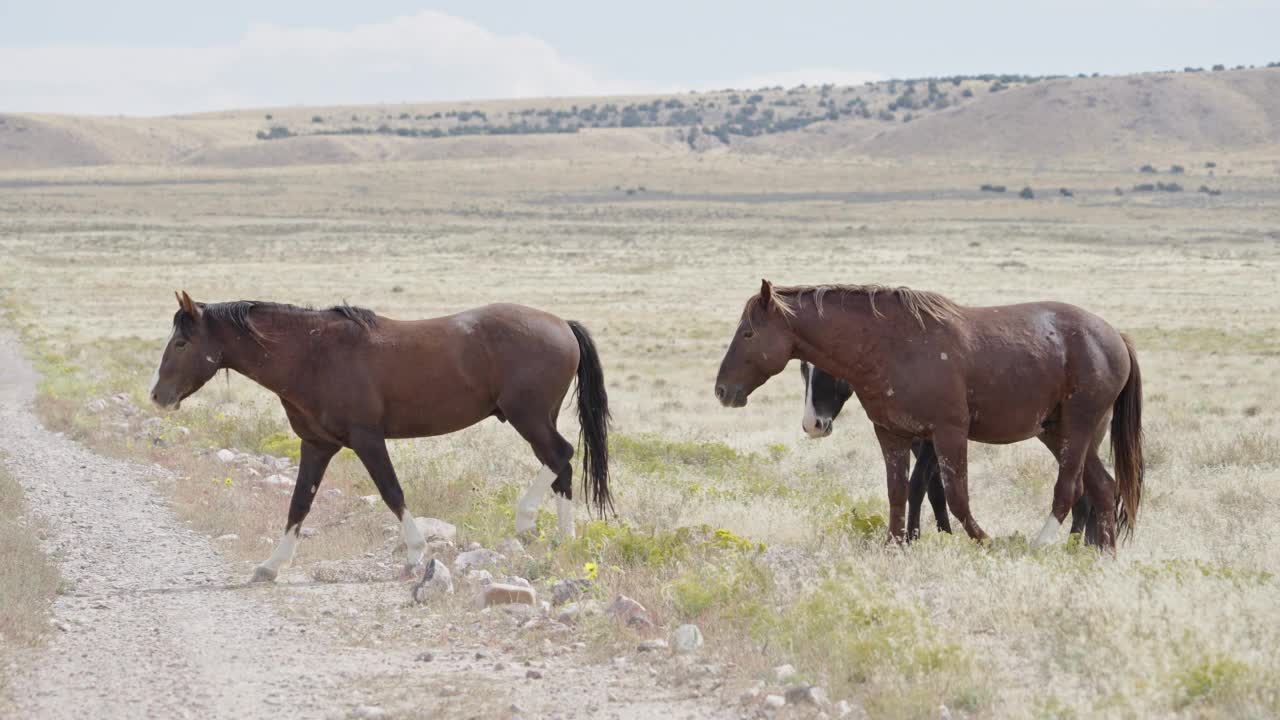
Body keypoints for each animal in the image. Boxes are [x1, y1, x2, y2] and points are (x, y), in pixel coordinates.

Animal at [149, 289, 609, 576]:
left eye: (182, 344)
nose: (158, 396)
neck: (313, 355)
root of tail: (562, 325)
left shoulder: (367, 440)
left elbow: (392, 492)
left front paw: (416, 554)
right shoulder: (317, 446)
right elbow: (299, 505)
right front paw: (271, 566)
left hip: (528, 417)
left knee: (560, 456)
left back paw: (528, 521)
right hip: (536, 418)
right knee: (561, 467)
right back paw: (561, 538)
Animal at [716, 280, 1146, 548]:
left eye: (749, 333)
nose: (722, 390)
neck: (892, 346)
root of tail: (1115, 336)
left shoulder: (947, 434)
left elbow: (954, 497)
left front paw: (982, 541)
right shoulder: (892, 434)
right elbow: (898, 492)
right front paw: (895, 545)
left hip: (1077, 426)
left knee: (1069, 490)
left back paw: (1039, 545)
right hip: (1057, 431)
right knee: (1103, 488)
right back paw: (1102, 555)